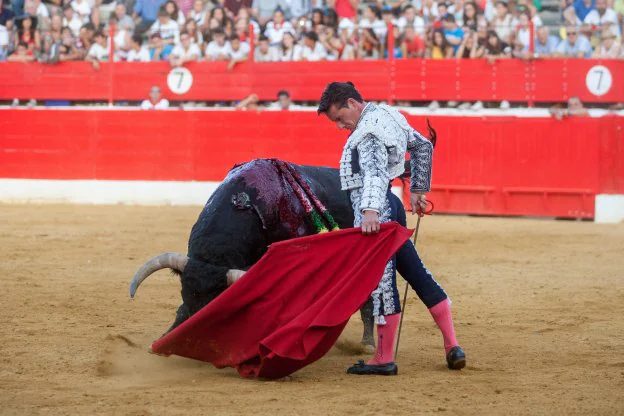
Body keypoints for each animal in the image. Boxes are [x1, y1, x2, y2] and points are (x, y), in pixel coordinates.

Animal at [130, 159, 408, 352]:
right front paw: (164, 339)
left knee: (369, 299)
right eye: (186, 295)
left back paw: (367, 344)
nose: (193, 342)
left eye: (213, 302)